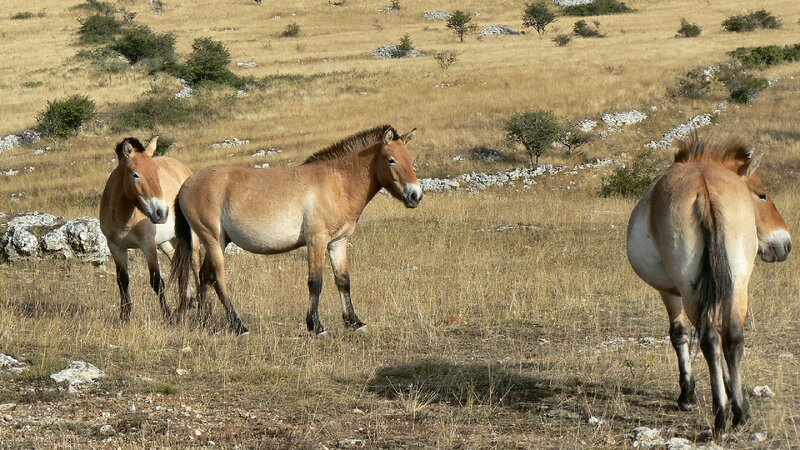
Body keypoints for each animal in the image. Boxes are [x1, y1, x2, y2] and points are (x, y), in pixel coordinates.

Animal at [100, 137, 194, 322]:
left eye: (157, 173)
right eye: (135, 174)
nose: (162, 212)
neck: (123, 217)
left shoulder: (147, 245)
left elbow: (157, 281)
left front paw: (167, 316)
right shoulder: (115, 247)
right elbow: (122, 280)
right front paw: (124, 316)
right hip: (166, 242)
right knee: (178, 262)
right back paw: (187, 300)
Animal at [171, 125, 422, 336]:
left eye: (411, 160)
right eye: (391, 160)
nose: (415, 195)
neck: (337, 183)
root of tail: (187, 184)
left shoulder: (338, 242)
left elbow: (343, 280)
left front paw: (355, 322)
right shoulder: (316, 241)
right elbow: (316, 282)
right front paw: (316, 326)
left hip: (220, 241)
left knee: (204, 276)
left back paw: (205, 320)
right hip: (212, 239)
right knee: (218, 279)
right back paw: (239, 326)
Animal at [626, 135, 791, 439]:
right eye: (762, 194)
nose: (785, 244)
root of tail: (705, 187)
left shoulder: (673, 293)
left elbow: (680, 335)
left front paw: (688, 396)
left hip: (693, 292)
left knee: (711, 340)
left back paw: (722, 416)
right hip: (737, 285)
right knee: (732, 339)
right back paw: (738, 414)